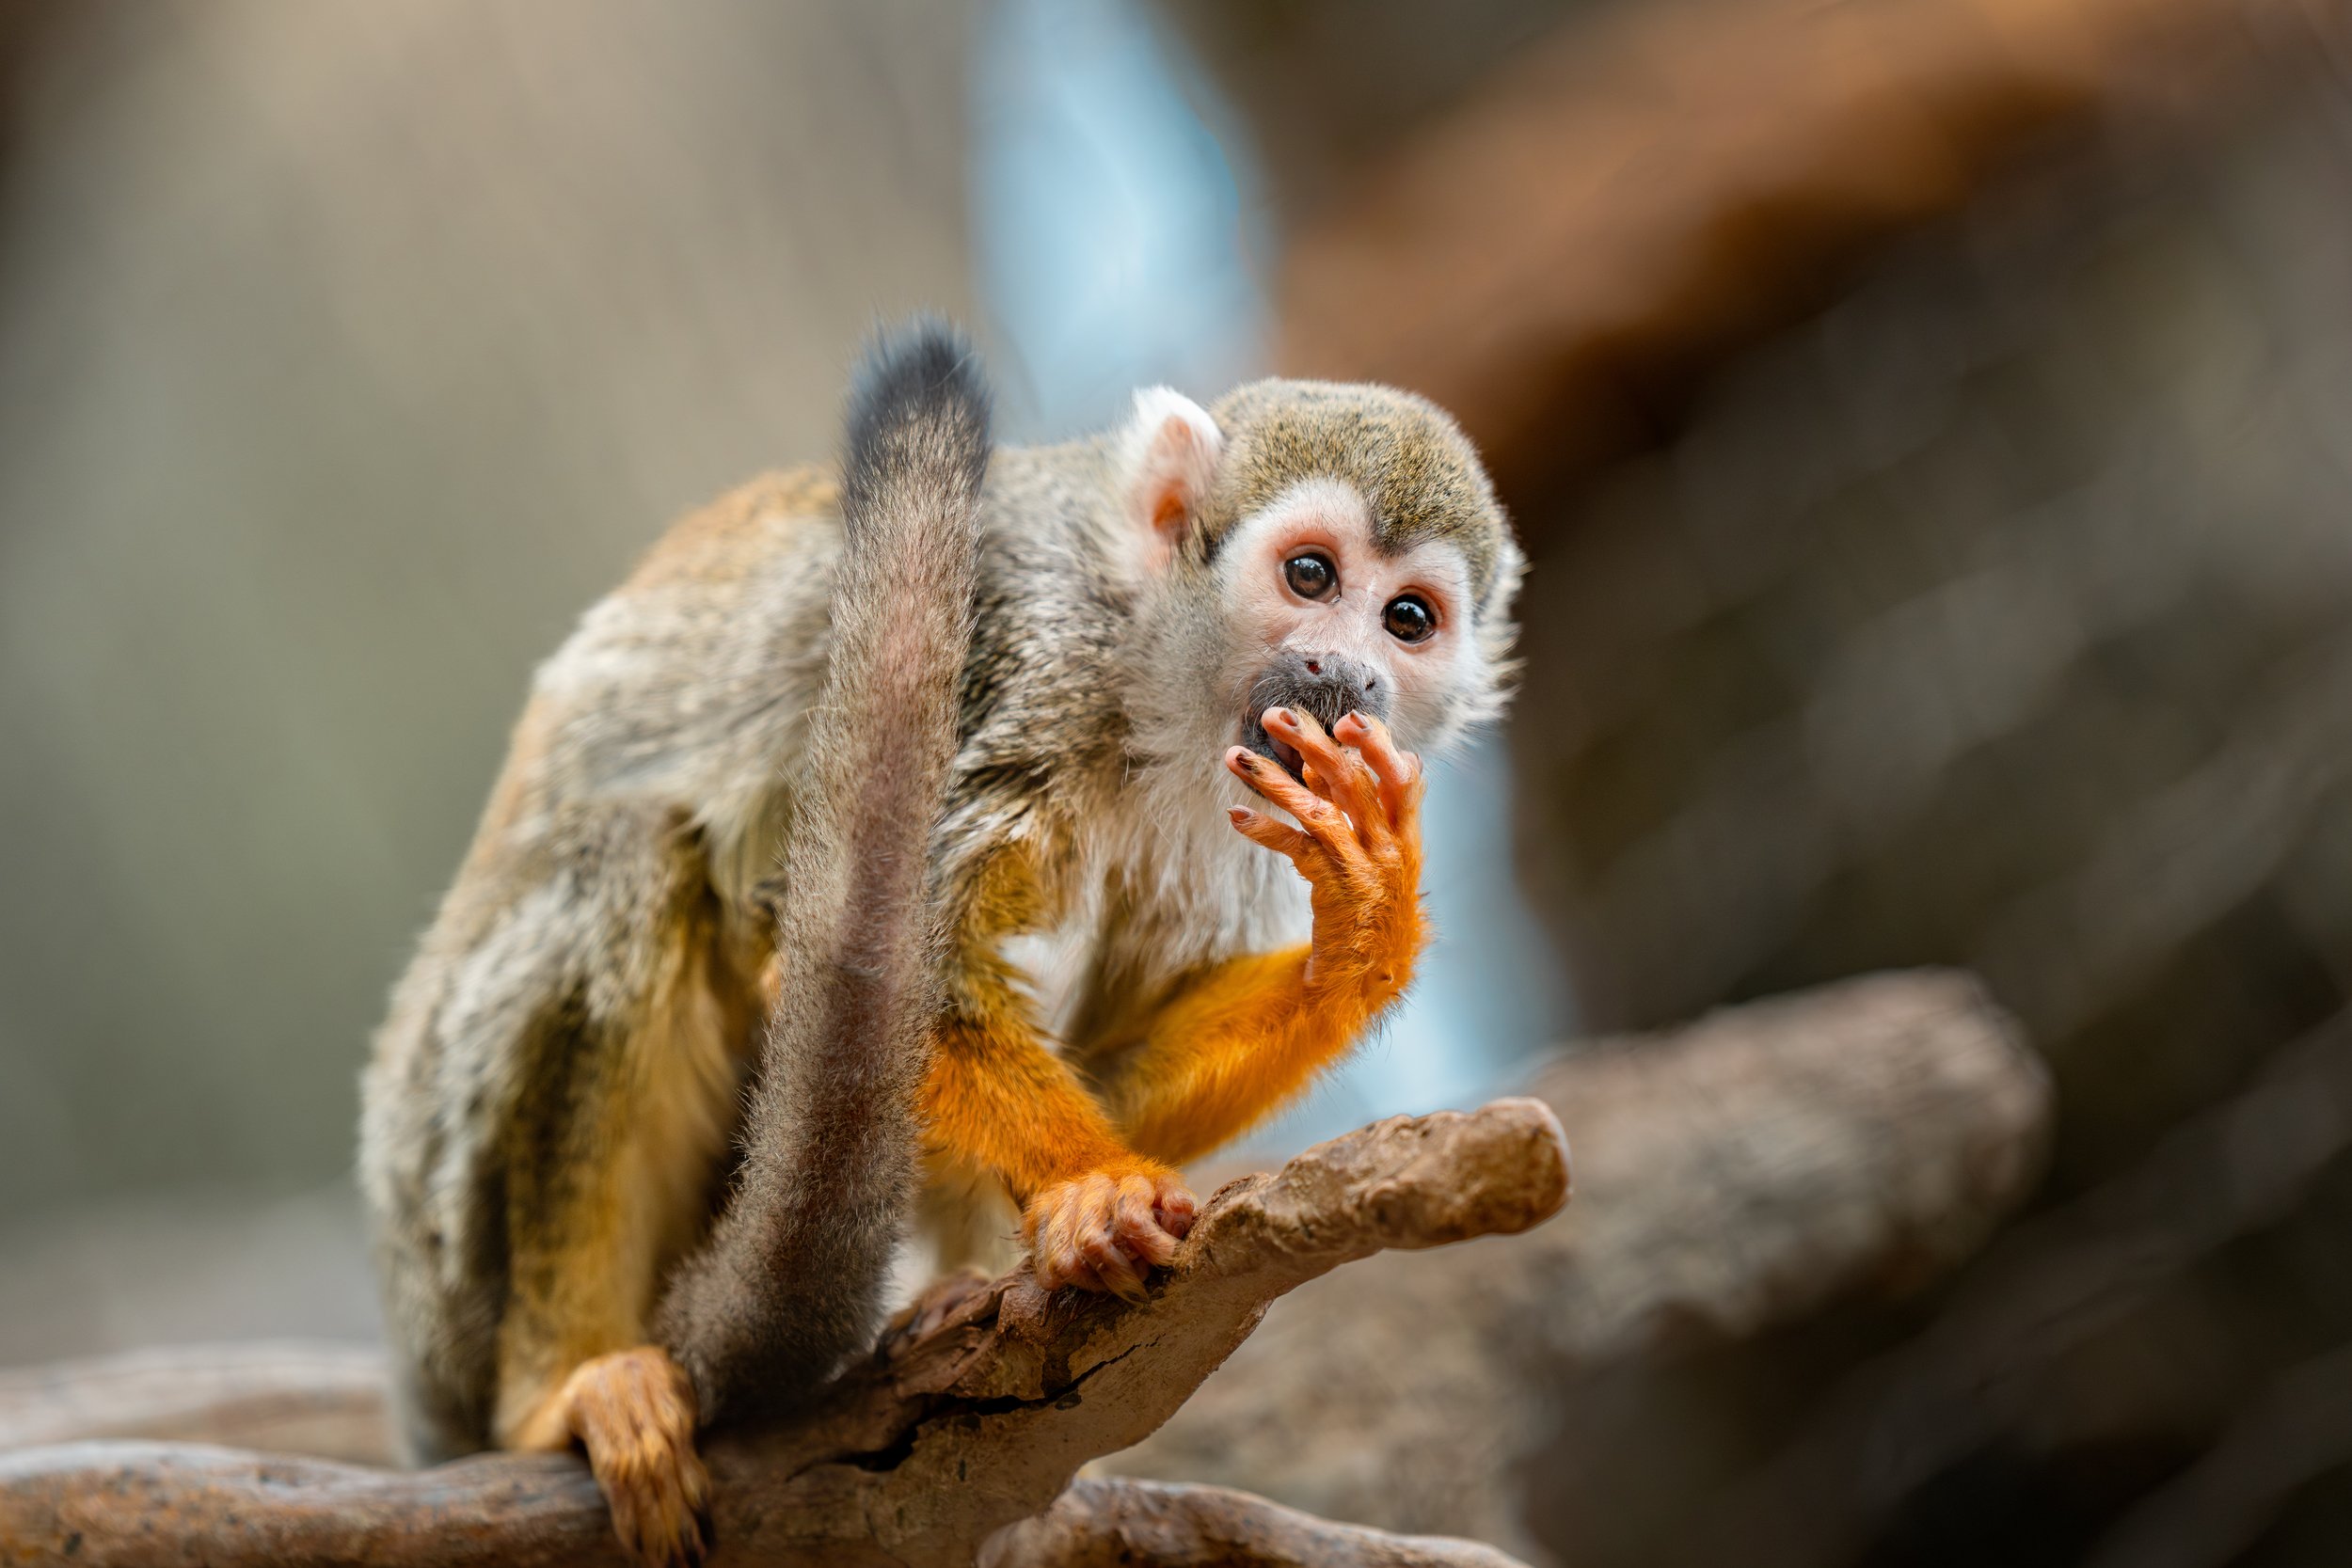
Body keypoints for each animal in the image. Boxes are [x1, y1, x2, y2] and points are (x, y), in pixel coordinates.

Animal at [359, 320, 1523, 1568]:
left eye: (1406, 620)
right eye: (1310, 576)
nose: (1341, 670)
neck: (1157, 674)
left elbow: (1109, 1063)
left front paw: (1361, 929)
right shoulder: (1021, 643)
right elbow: (858, 963)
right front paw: (1095, 1182)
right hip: (441, 1218)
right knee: (628, 856)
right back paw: (565, 1379)